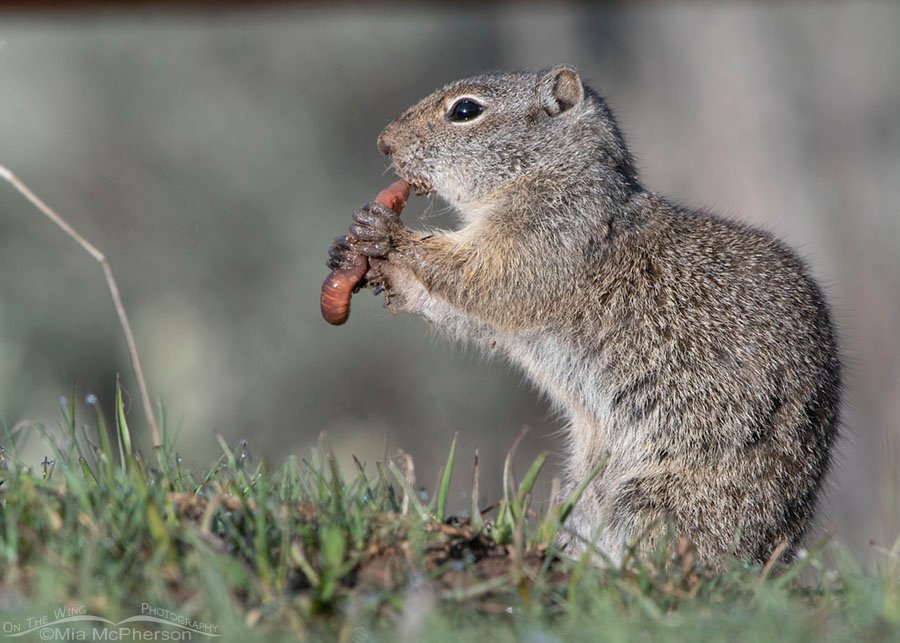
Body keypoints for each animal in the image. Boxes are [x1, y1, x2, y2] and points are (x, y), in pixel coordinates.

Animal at [327, 66, 842, 565]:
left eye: (466, 110)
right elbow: (468, 310)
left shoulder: (551, 234)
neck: (554, 172)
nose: (384, 142)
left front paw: (390, 234)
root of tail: (778, 548)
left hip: (668, 494)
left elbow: (488, 276)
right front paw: (369, 262)